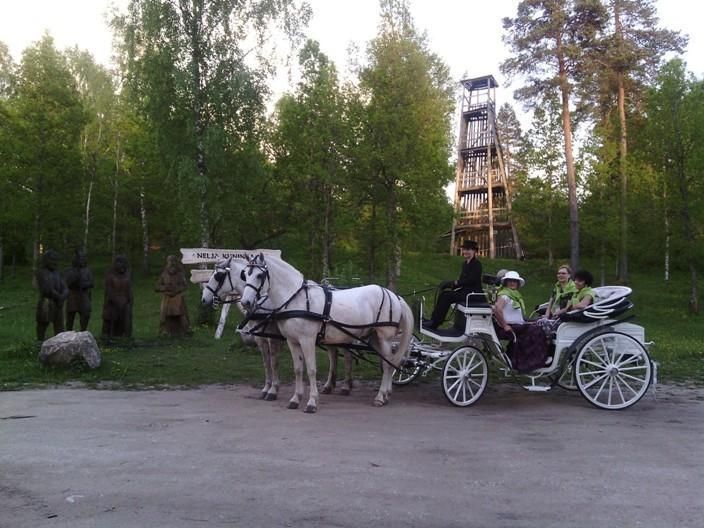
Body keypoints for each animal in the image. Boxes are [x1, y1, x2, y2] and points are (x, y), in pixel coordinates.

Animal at [201, 258, 354, 399]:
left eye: (218, 276)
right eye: (245, 275)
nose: (203, 299)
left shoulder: (272, 336)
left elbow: (274, 362)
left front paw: (273, 390)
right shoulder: (260, 338)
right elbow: (266, 363)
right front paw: (266, 388)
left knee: (347, 356)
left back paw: (346, 386)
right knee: (333, 355)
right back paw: (330, 385)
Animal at [239, 253, 414, 412]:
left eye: (259, 275)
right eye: (245, 274)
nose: (245, 302)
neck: (296, 299)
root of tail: (394, 295)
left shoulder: (307, 340)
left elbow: (311, 370)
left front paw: (311, 402)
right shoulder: (292, 341)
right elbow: (298, 369)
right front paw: (295, 399)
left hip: (385, 338)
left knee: (387, 364)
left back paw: (380, 396)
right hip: (375, 337)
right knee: (388, 363)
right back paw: (386, 394)